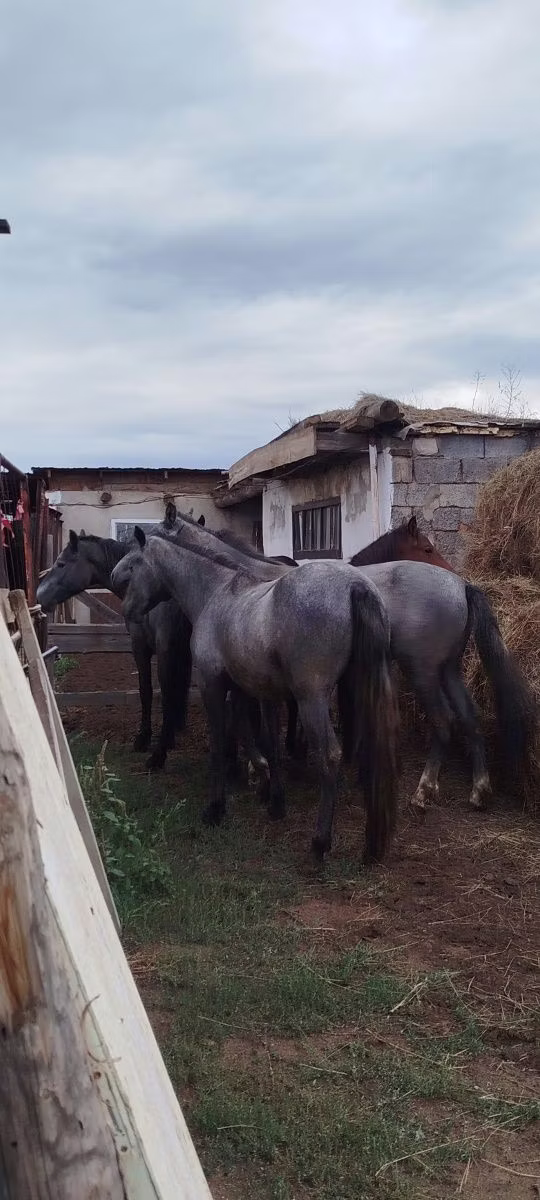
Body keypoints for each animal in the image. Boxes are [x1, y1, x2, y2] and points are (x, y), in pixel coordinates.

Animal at [111, 527, 399, 865]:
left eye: (133, 565)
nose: (127, 613)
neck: (216, 593)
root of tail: (356, 586)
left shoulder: (213, 685)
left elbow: (221, 742)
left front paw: (216, 808)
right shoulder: (252, 689)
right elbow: (260, 739)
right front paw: (271, 795)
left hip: (312, 699)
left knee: (330, 756)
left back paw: (320, 844)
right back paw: (371, 845)